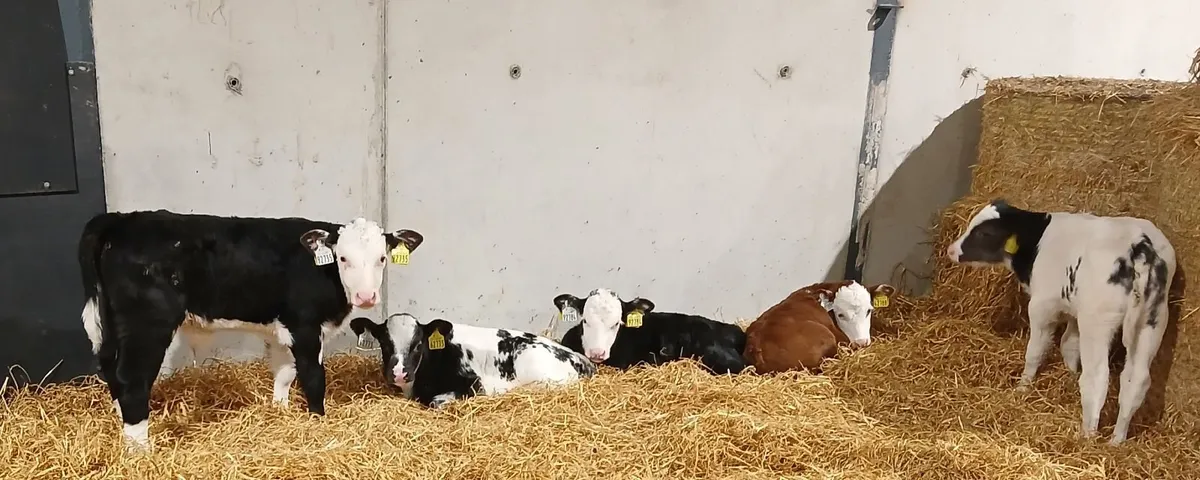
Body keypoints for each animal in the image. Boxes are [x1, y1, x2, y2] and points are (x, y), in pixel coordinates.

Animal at [77, 210, 424, 452]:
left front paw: (280, 412)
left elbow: (284, 373)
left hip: (109, 324)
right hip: (147, 324)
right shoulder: (305, 325)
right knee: (132, 380)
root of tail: (120, 219)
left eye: (382, 258)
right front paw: (318, 421)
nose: (366, 296)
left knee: (111, 369)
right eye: (342, 258)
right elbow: (313, 377)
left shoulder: (281, 328)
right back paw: (140, 450)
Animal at [349, 313, 597, 408]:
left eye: (418, 344)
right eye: (384, 343)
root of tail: (577, 357)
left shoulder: (474, 384)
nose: (399, 373)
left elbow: (435, 402)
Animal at [946, 199, 1175, 445]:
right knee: (1136, 380)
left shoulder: (1042, 306)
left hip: (1097, 321)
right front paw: (1068, 376)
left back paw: (1087, 435)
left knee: (1098, 377)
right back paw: (1116, 440)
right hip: (1152, 321)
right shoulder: (1072, 310)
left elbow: (1035, 351)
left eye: (984, 233)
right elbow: (1068, 345)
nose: (951, 250)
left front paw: (1022, 387)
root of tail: (1140, 245)